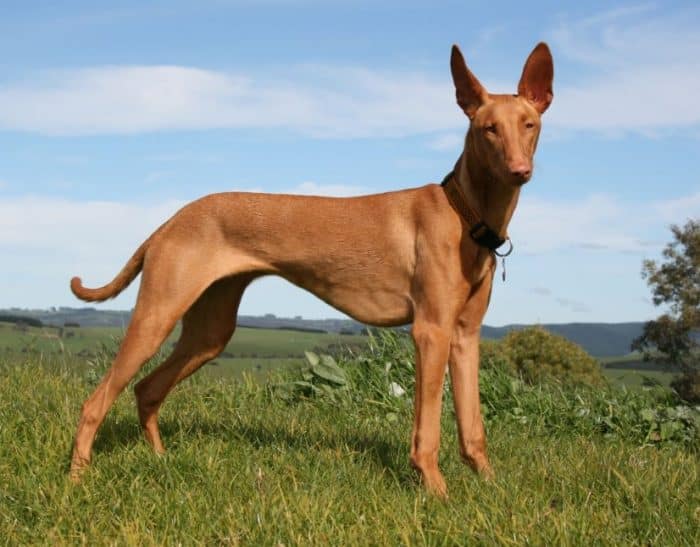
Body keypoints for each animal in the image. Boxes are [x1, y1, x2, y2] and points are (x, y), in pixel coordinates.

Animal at [71, 42, 552, 496]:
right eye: (488, 128)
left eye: (529, 124)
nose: (519, 171)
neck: (464, 212)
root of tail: (170, 220)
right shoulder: (430, 331)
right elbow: (427, 432)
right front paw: (436, 491)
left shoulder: (466, 335)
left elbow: (473, 427)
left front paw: (490, 485)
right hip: (156, 316)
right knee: (96, 401)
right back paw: (76, 479)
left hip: (209, 332)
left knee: (146, 389)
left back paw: (160, 460)